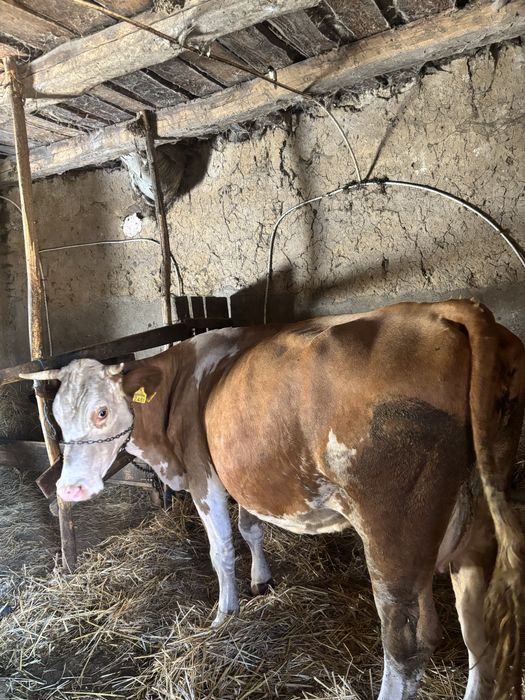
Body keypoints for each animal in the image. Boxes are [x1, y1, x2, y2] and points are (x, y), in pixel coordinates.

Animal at [22, 299, 525, 700]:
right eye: (57, 418)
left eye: (102, 412)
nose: (69, 489)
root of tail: (445, 310)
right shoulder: (242, 470)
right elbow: (251, 527)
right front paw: (261, 581)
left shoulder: (205, 474)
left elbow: (222, 549)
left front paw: (224, 614)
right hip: (476, 525)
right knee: (480, 633)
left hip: (393, 533)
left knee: (406, 645)